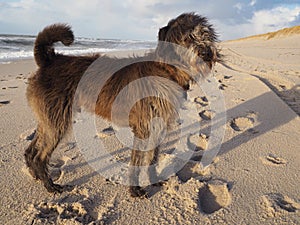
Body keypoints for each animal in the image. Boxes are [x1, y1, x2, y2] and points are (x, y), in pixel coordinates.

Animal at [24, 12, 219, 197]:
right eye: (187, 38)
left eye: (206, 35)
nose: (207, 53)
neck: (165, 69)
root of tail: (49, 60)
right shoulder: (143, 129)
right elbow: (137, 162)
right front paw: (135, 190)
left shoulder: (158, 127)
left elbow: (152, 158)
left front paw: (153, 179)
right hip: (57, 122)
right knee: (40, 155)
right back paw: (50, 185)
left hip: (49, 120)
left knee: (31, 150)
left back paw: (36, 175)